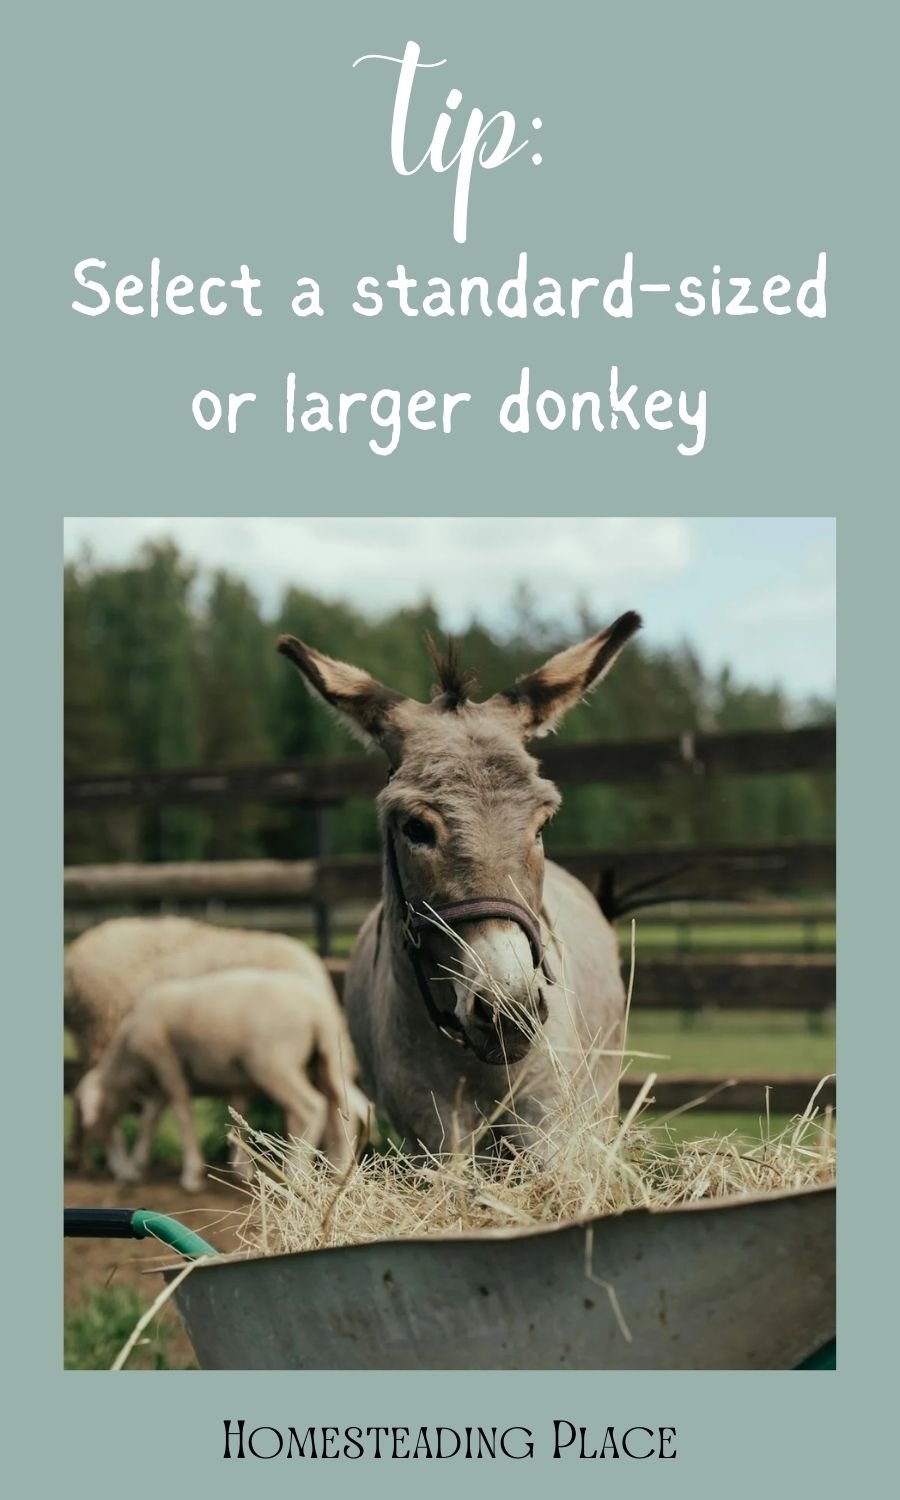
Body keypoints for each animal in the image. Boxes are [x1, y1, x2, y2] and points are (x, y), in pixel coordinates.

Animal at [77, 960, 369, 1194]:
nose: (116, 1171)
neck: (127, 1053)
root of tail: (321, 1011)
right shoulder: (195, 1078)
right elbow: (154, 1117)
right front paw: (137, 1165)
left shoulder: (165, 1061)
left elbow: (181, 1112)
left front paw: (191, 1175)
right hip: (326, 1060)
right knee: (343, 1107)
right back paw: (340, 1175)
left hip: (275, 1063)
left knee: (310, 1107)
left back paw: (296, 1173)